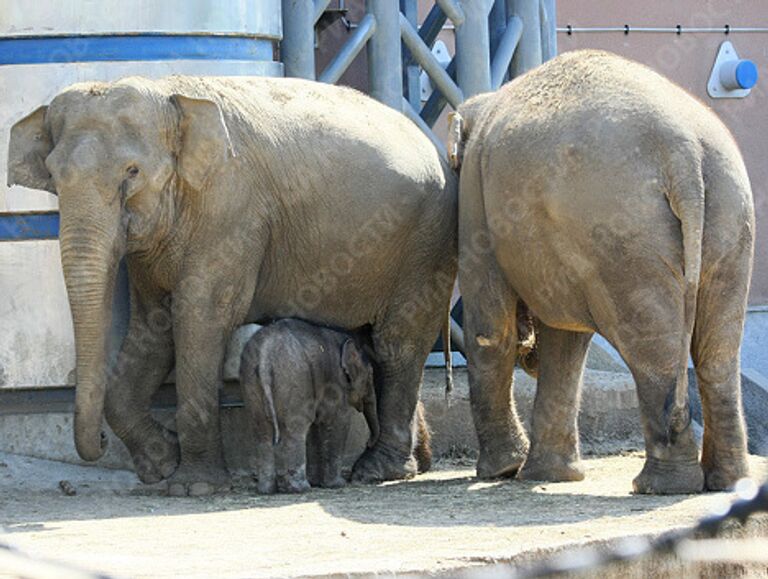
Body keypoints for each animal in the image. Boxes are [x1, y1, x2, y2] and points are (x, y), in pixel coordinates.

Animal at [242, 318, 380, 494]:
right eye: (370, 376)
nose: (368, 443)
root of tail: (265, 354)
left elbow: (316, 426)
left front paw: (318, 482)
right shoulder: (335, 383)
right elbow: (338, 422)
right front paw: (337, 484)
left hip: (251, 380)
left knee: (262, 431)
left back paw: (267, 490)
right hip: (294, 376)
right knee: (295, 428)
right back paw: (299, 488)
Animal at [452, 49, 752, 494]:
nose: (529, 351)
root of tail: (683, 153)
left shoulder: (474, 193)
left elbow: (491, 330)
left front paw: (502, 471)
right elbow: (566, 340)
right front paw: (547, 476)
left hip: (623, 229)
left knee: (651, 343)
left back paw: (658, 486)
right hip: (729, 216)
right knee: (718, 350)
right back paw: (727, 483)